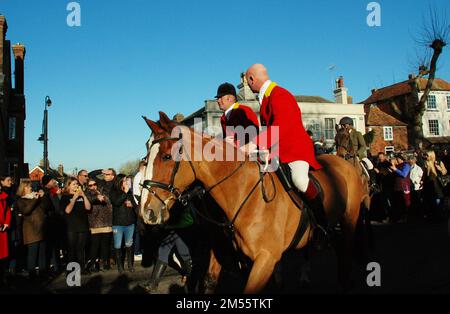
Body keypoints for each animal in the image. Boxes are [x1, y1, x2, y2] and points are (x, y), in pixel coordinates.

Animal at [141, 111, 370, 294]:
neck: (242, 191)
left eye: (167, 156)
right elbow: (210, 281)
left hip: (350, 220)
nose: (147, 211)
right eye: (146, 156)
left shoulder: (265, 259)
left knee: (346, 249)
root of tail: (344, 163)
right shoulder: (224, 251)